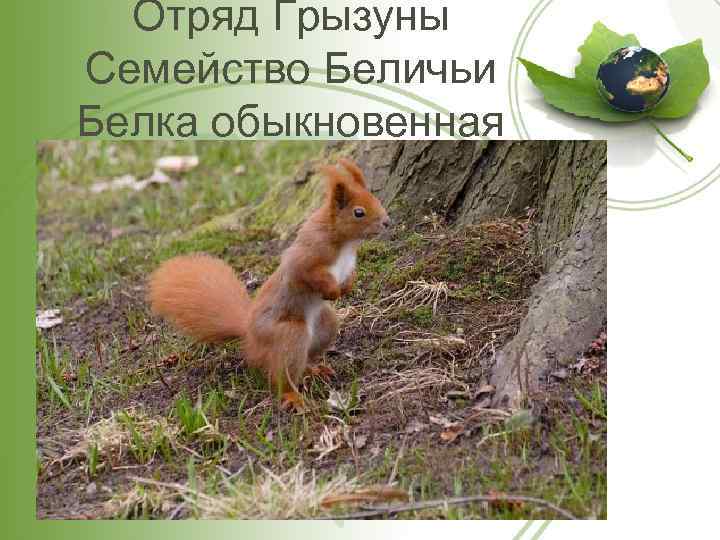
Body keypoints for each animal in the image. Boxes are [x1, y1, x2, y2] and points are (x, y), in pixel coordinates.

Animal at [147, 159, 390, 410]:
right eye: (358, 212)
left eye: (376, 199)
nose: (387, 222)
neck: (345, 243)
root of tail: (249, 334)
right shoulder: (306, 257)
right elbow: (306, 274)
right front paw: (332, 291)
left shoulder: (348, 264)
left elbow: (350, 275)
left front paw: (346, 287)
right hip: (290, 334)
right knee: (281, 376)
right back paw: (293, 396)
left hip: (325, 326)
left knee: (305, 358)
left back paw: (314, 369)